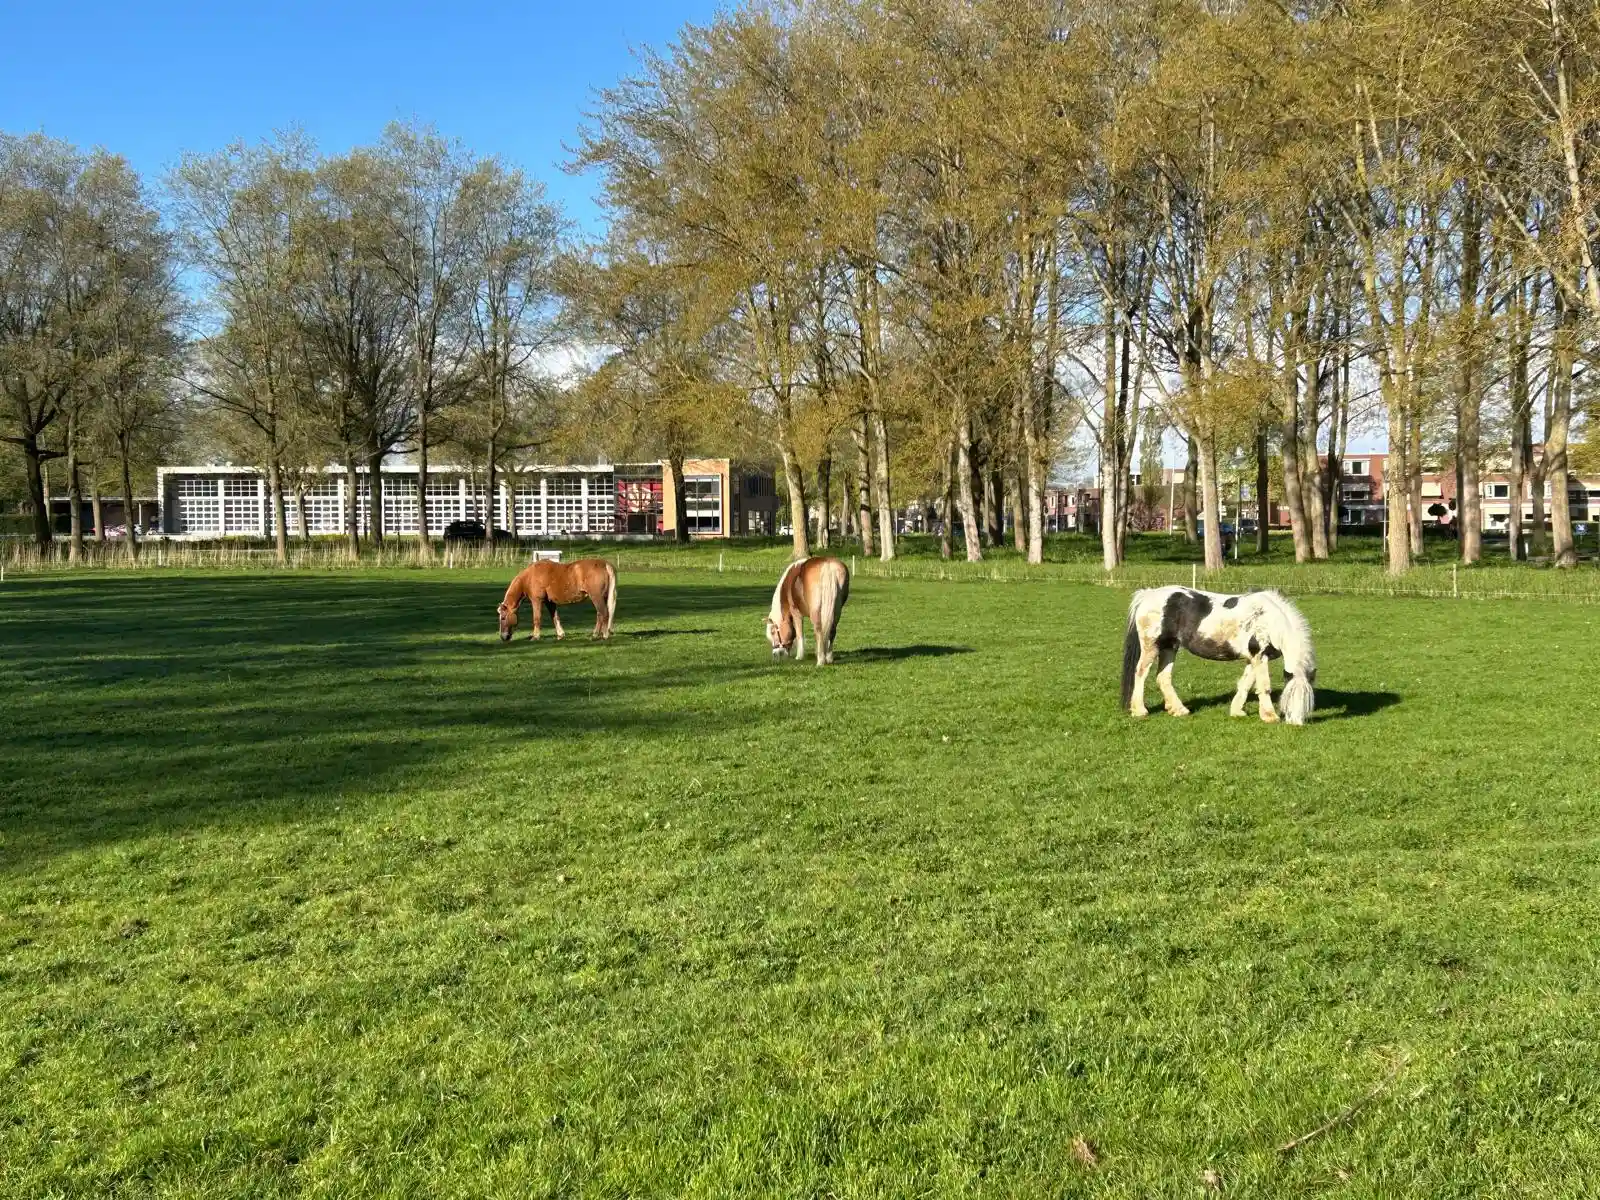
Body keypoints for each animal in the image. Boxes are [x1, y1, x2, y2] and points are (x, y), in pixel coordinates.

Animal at [1122, 585, 1316, 724]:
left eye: (1307, 699)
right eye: (1290, 696)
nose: (1296, 724)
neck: (1267, 619)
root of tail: (1147, 595)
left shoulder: (1253, 659)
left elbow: (1245, 684)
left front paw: (1237, 711)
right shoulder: (1259, 656)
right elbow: (1264, 686)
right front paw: (1269, 716)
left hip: (1170, 647)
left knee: (1163, 677)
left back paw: (1178, 710)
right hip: (1151, 647)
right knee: (1140, 673)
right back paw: (1139, 710)